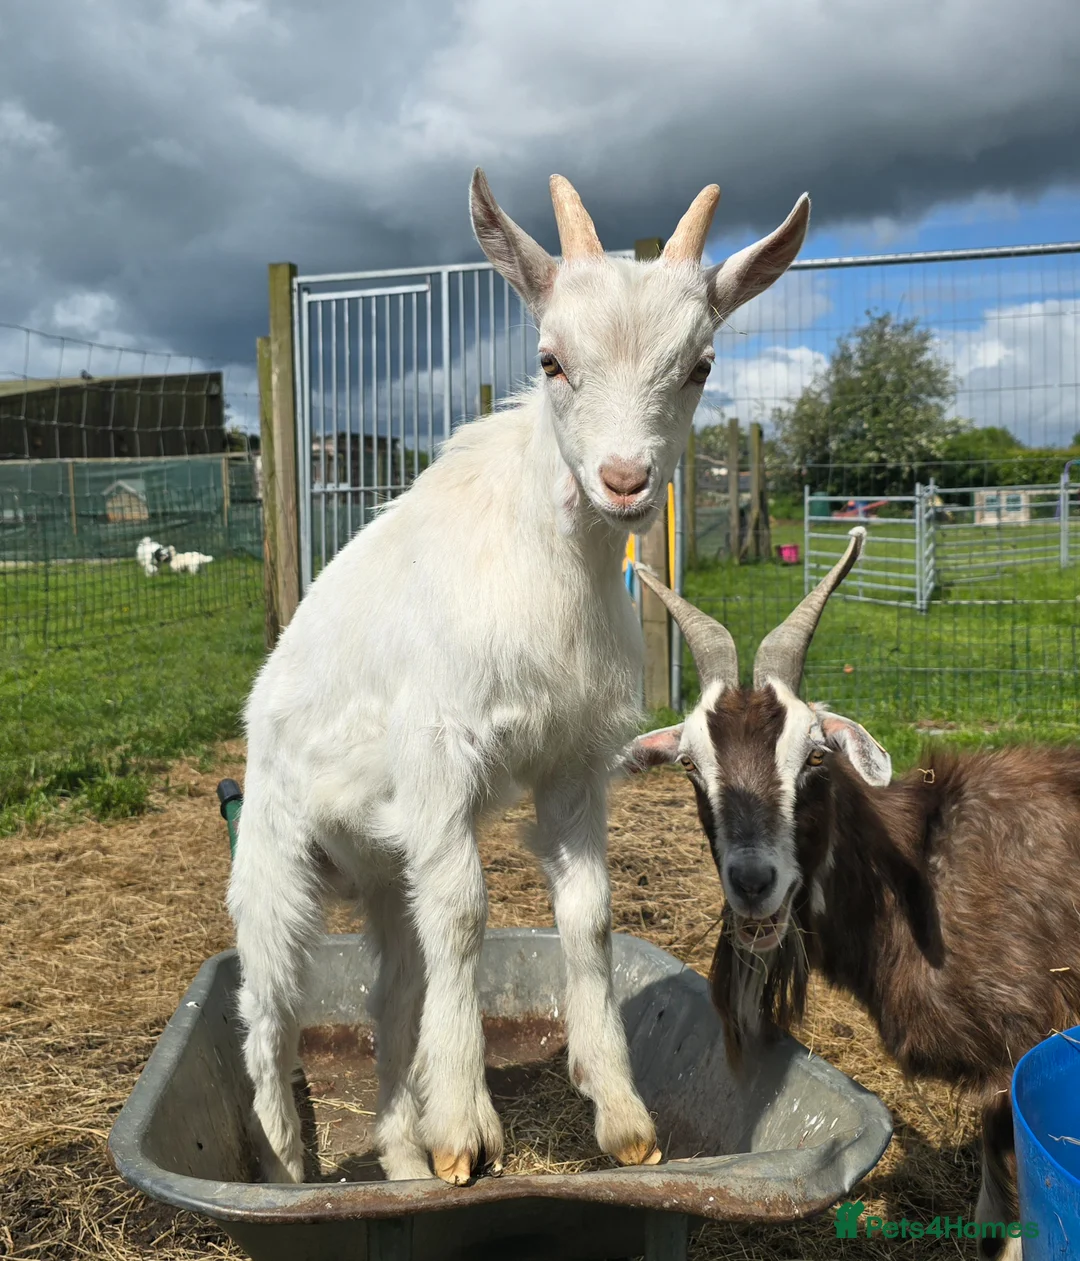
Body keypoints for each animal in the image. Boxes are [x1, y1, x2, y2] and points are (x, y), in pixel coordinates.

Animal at [227, 168, 811, 1187]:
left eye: (699, 365)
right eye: (550, 360)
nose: (624, 479)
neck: (550, 571)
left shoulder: (573, 761)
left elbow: (587, 915)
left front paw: (622, 1119)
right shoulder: (436, 753)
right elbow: (466, 915)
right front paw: (466, 1130)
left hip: (384, 870)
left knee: (391, 988)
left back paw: (401, 1153)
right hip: (272, 859)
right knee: (270, 1006)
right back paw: (290, 1165)